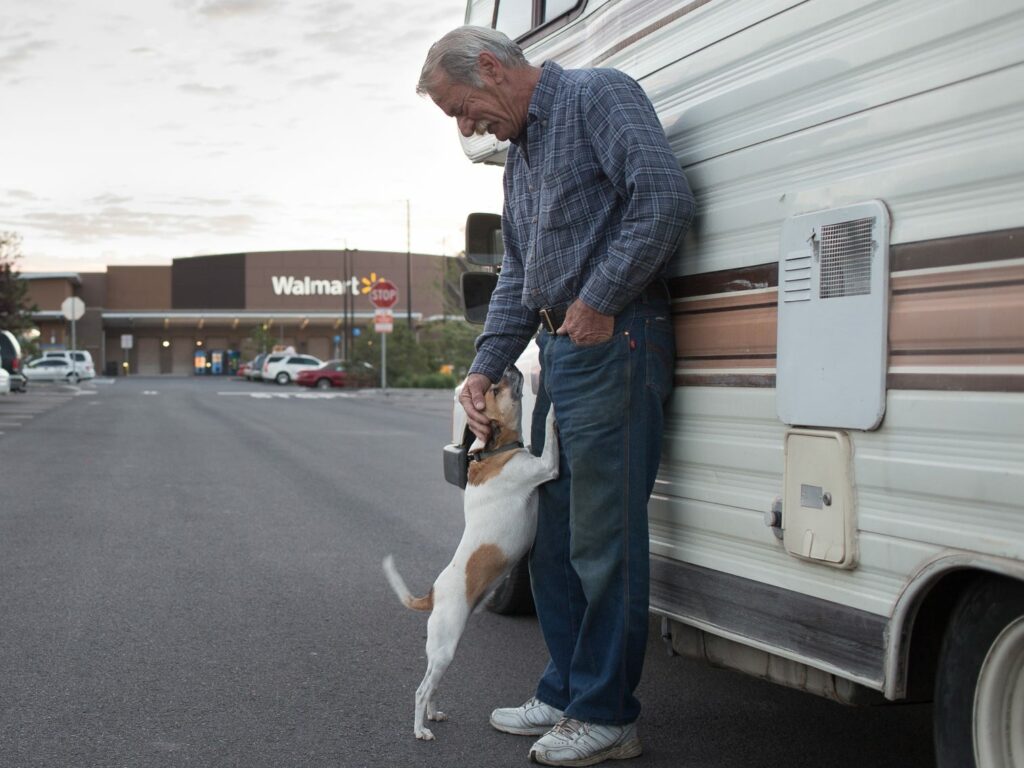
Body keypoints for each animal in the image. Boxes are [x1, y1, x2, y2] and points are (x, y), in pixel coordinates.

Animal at [385, 370, 561, 741]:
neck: (495, 452)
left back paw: (433, 715)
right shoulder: (546, 466)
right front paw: (552, 405)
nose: (512, 368)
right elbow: (549, 431)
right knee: (421, 690)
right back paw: (420, 730)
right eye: (495, 388)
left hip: (443, 651)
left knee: (432, 686)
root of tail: (433, 594)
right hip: (445, 646)